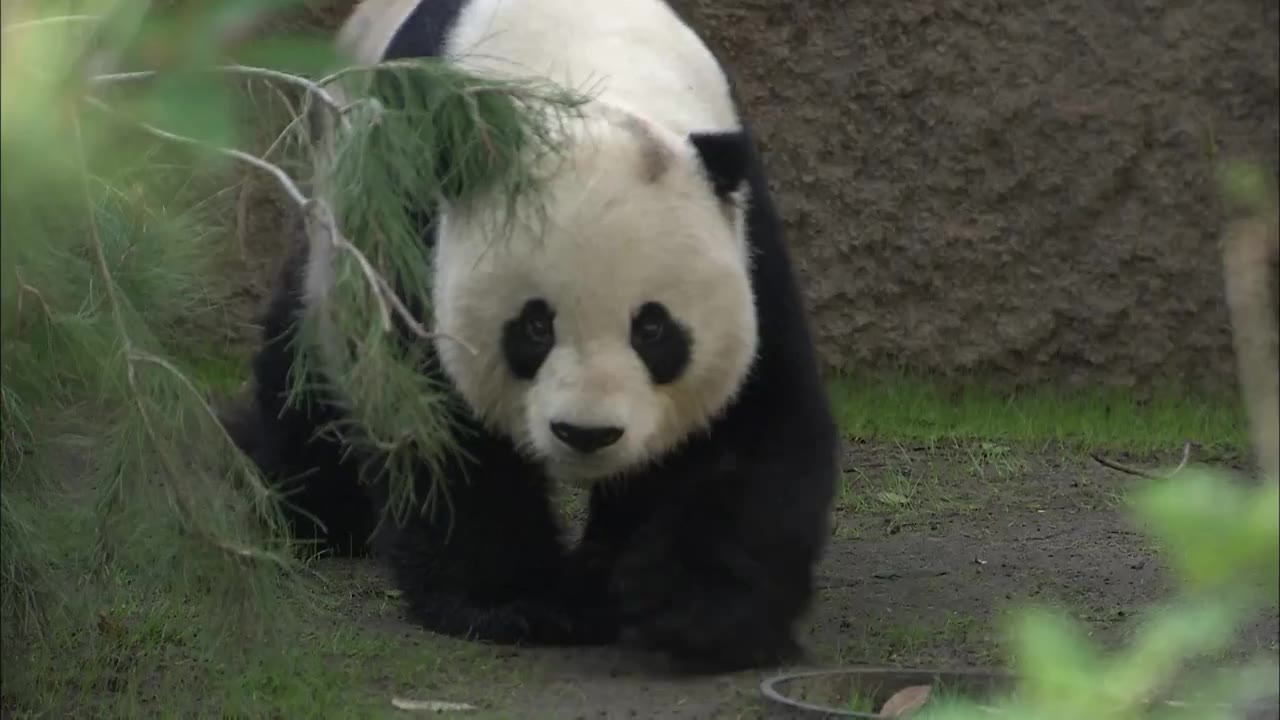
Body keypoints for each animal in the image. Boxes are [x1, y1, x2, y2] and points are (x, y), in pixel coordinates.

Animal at [230, 0, 839, 671]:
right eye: (535, 326)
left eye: (653, 328)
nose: (586, 434)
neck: (590, 67)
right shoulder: (415, 203)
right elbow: (436, 417)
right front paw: (519, 603)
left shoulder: (746, 236)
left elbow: (749, 424)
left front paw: (697, 613)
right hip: (336, 216)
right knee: (307, 367)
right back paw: (303, 508)